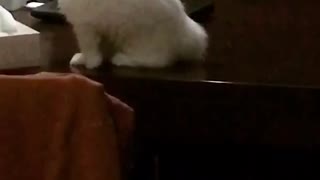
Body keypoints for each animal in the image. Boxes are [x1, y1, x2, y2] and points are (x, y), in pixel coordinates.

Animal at [58, 0, 208, 68]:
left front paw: (87, 63)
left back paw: (121, 59)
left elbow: (89, 50)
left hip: (141, 41)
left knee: (157, 61)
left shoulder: (85, 27)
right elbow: (98, 49)